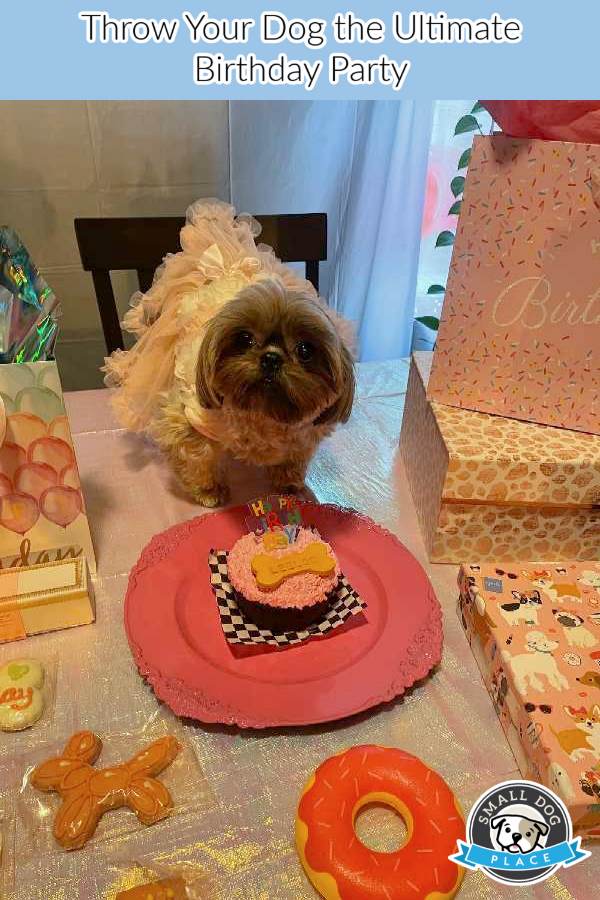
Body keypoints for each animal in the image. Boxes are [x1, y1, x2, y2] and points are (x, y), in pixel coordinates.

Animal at [152, 276, 354, 506]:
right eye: (244, 338)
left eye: (305, 350)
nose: (271, 358)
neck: (262, 416)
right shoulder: (189, 419)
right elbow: (199, 458)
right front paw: (209, 490)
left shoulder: (305, 435)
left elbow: (293, 459)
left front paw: (288, 483)